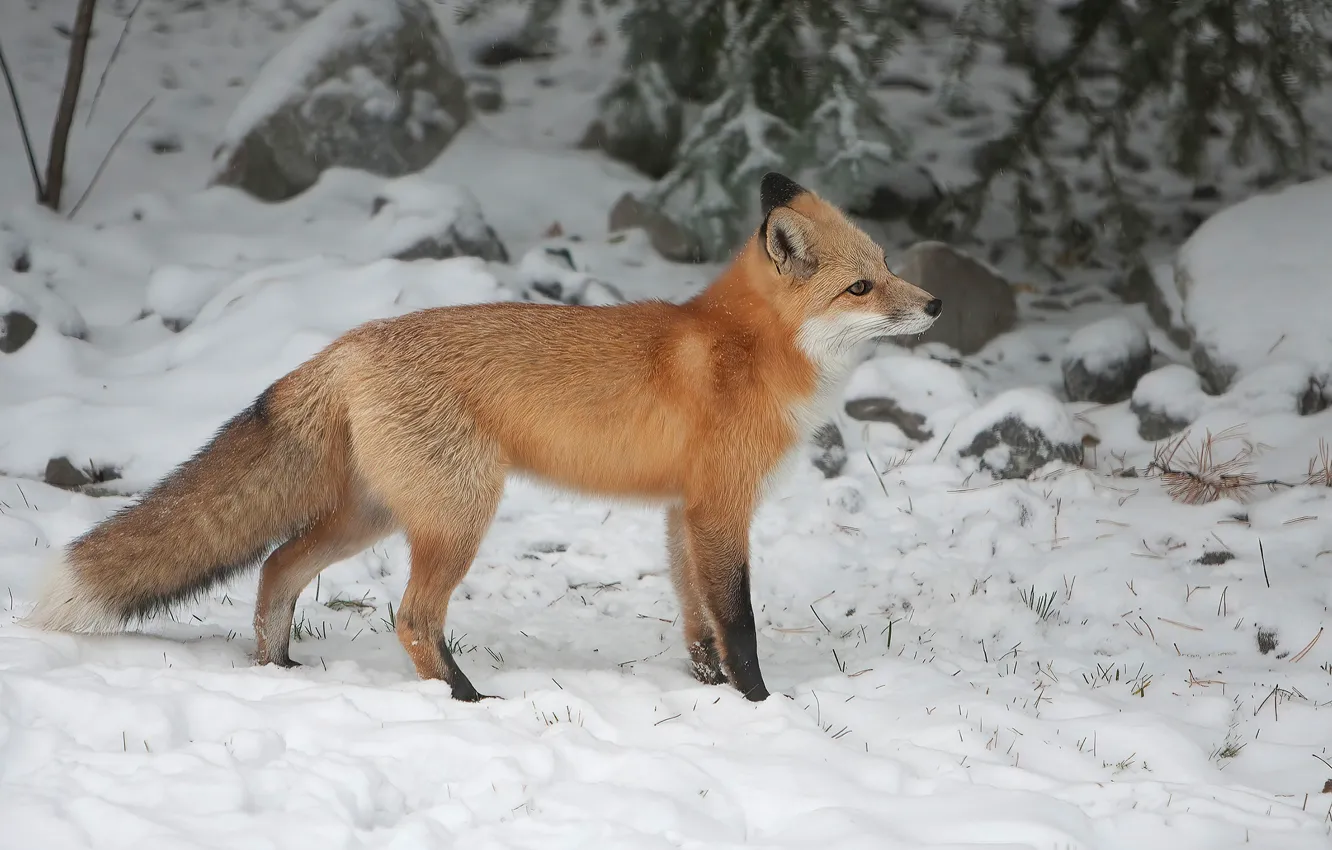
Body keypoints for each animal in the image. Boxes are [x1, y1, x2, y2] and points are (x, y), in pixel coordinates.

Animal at [23, 172, 941, 702]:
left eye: (888, 266)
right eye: (861, 287)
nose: (933, 304)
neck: (753, 350)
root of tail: (345, 343)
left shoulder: (683, 512)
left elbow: (696, 618)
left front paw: (706, 687)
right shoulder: (721, 508)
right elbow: (739, 621)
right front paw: (758, 703)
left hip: (378, 516)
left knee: (279, 566)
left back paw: (278, 669)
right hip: (460, 516)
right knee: (409, 617)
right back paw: (463, 700)